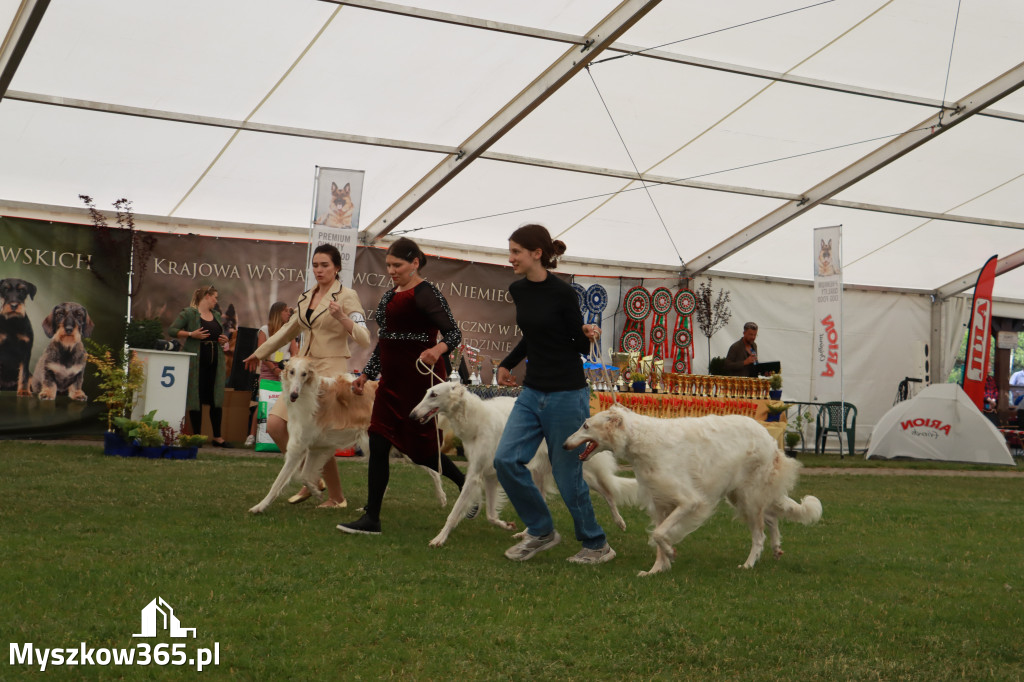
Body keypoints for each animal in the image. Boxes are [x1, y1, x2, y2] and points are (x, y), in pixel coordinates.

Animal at [250, 356, 444, 509]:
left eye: (304, 374)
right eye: (291, 372)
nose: (294, 395)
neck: (309, 394)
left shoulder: (298, 448)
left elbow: (278, 482)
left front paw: (259, 507)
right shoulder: (317, 447)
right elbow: (304, 476)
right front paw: (317, 491)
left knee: (433, 471)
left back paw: (442, 498)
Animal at [409, 382, 638, 548]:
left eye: (433, 394)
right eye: (426, 392)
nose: (412, 415)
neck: (477, 419)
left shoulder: (475, 475)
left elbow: (455, 512)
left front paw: (439, 538)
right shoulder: (490, 474)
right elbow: (491, 515)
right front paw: (505, 524)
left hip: (581, 472)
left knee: (608, 494)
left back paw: (620, 521)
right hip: (538, 472)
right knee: (540, 501)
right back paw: (528, 534)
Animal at [565, 401, 819, 577]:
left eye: (586, 425)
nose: (564, 445)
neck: (641, 438)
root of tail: (770, 438)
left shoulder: (690, 501)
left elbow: (659, 534)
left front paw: (670, 553)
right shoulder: (659, 503)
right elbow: (658, 535)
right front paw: (656, 569)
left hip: (749, 495)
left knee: (759, 535)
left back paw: (748, 564)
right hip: (741, 495)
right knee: (772, 517)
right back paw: (776, 549)